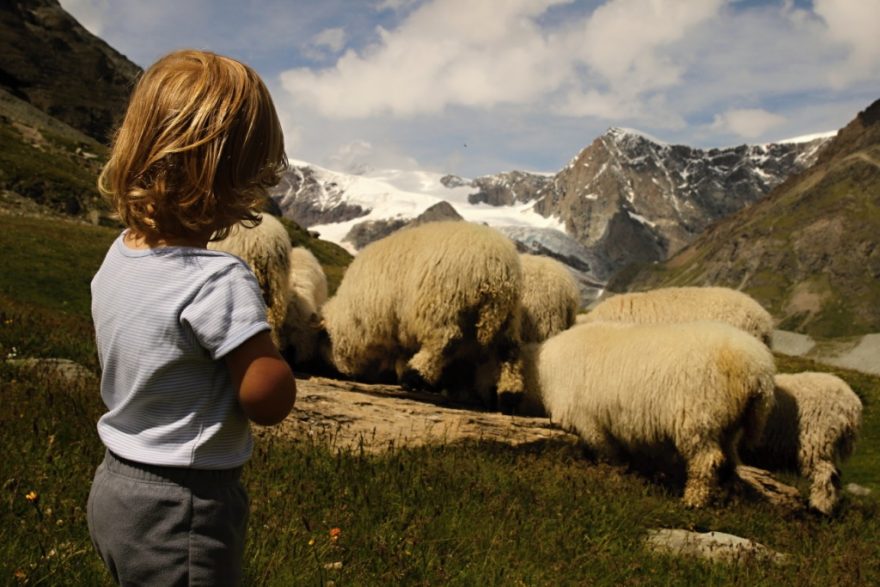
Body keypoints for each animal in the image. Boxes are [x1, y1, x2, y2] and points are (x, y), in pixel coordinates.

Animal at [320, 219, 524, 408]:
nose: (336, 372)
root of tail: (496, 269)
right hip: (507, 316)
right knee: (509, 352)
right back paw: (510, 395)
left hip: (443, 305)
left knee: (446, 341)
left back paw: (415, 376)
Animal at [524, 322, 776, 510]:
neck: (543, 371)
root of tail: (754, 369)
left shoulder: (585, 417)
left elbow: (605, 449)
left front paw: (614, 470)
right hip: (729, 424)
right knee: (730, 462)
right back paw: (726, 498)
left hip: (699, 417)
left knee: (706, 461)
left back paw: (693, 500)